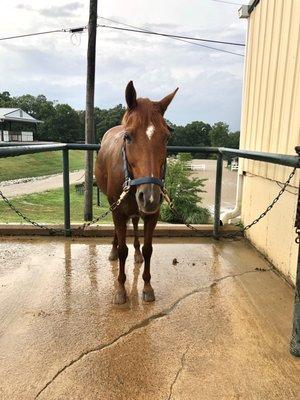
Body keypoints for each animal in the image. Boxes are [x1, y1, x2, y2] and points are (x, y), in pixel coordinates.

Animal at [95, 82, 177, 306]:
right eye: (128, 136)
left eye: (166, 137)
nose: (149, 196)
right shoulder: (118, 211)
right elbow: (124, 249)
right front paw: (120, 289)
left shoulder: (152, 215)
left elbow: (149, 249)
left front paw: (147, 286)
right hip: (116, 206)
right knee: (120, 233)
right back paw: (113, 251)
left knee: (134, 223)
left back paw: (137, 253)